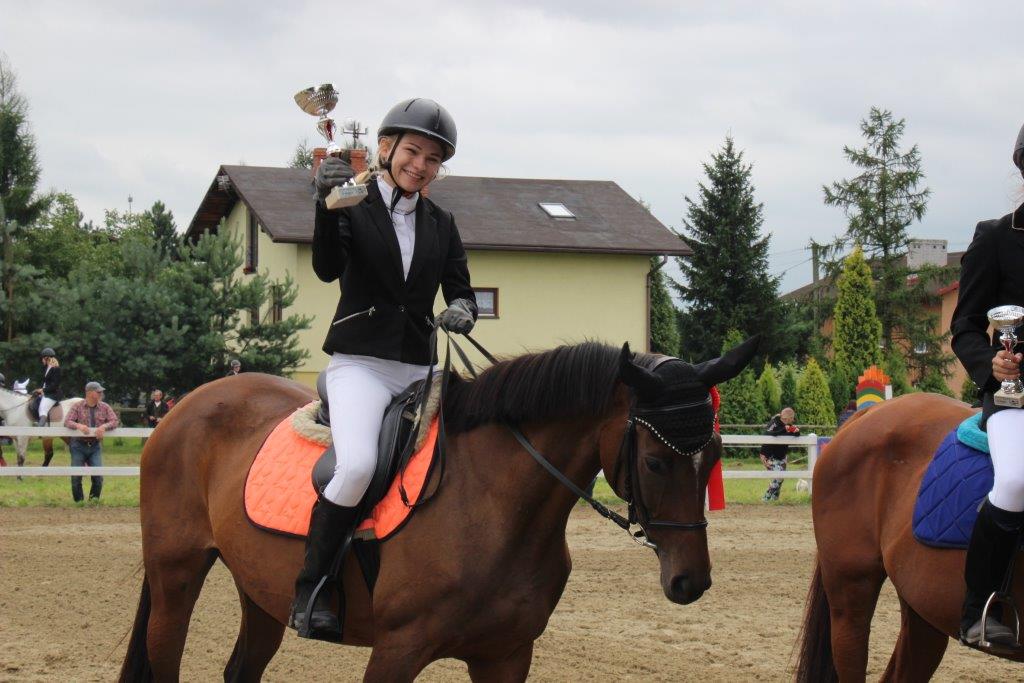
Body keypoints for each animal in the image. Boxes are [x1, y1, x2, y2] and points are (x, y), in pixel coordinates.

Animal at [117, 337, 758, 682]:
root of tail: (185, 406)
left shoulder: (506, 655)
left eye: (714, 456)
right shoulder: (397, 652)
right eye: (654, 461)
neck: (496, 508)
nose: (690, 582)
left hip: (260, 590)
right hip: (177, 578)